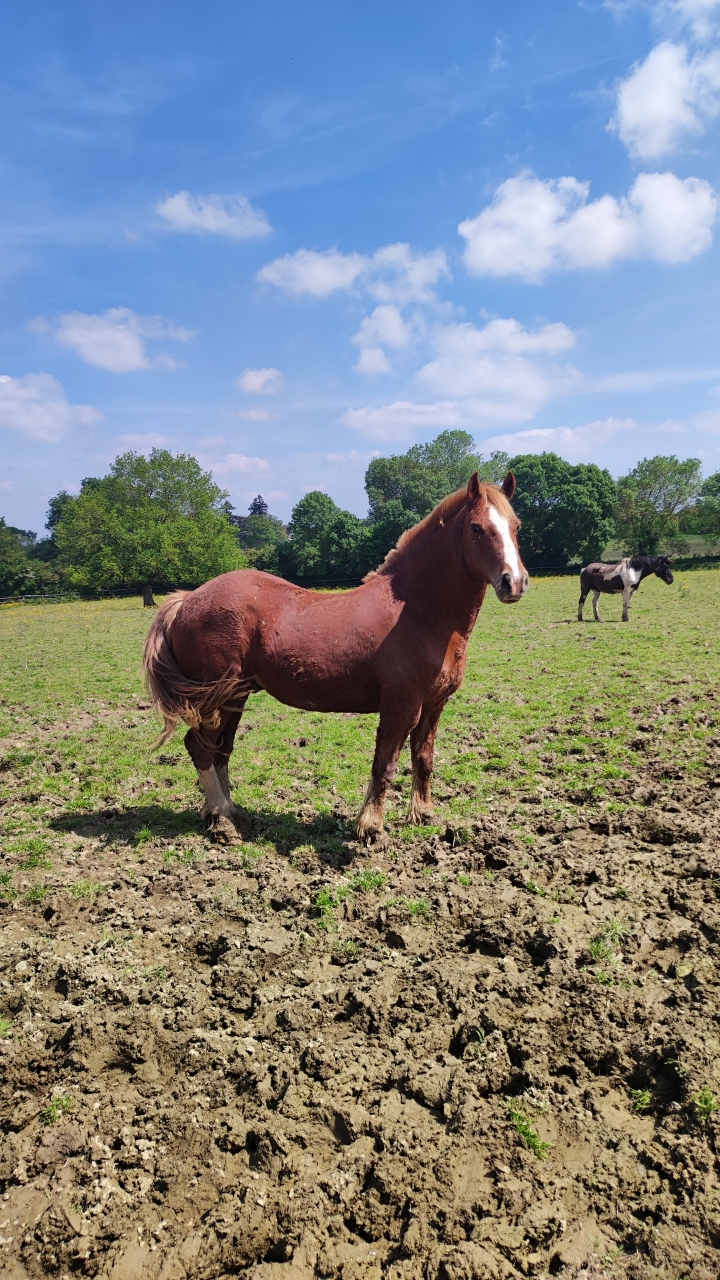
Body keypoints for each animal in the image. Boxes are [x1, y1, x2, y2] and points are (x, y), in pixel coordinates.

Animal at [143, 471, 528, 846]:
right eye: (476, 527)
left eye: (516, 525)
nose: (514, 582)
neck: (419, 610)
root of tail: (187, 599)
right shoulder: (401, 704)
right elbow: (385, 764)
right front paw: (371, 828)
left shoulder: (434, 704)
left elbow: (423, 757)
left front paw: (422, 814)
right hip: (213, 700)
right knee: (200, 748)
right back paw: (222, 821)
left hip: (234, 697)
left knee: (220, 750)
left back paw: (231, 814)